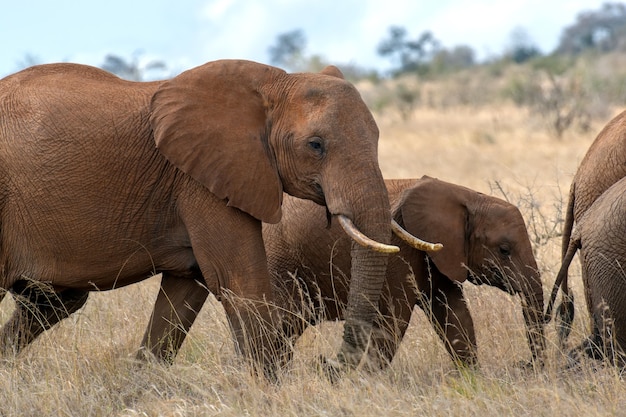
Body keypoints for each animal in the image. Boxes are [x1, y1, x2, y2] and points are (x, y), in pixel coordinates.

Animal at [0, 59, 414, 376]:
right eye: (316, 145)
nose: (327, 365)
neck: (272, 84)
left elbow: (182, 296)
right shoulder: (201, 181)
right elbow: (240, 282)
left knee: (52, 304)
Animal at [260, 176, 544, 368]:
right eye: (504, 250)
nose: (523, 364)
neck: (468, 196)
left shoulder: (438, 257)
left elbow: (455, 314)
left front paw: (472, 378)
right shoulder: (399, 249)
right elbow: (394, 318)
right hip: (279, 266)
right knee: (282, 325)